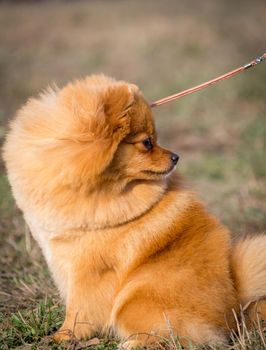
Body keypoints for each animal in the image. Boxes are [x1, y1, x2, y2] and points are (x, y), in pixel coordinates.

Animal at [2, 75, 266, 348]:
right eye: (147, 143)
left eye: (154, 139)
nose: (176, 156)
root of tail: (234, 308)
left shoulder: (89, 272)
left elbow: (78, 310)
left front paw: (63, 336)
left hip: (135, 299)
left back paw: (132, 343)